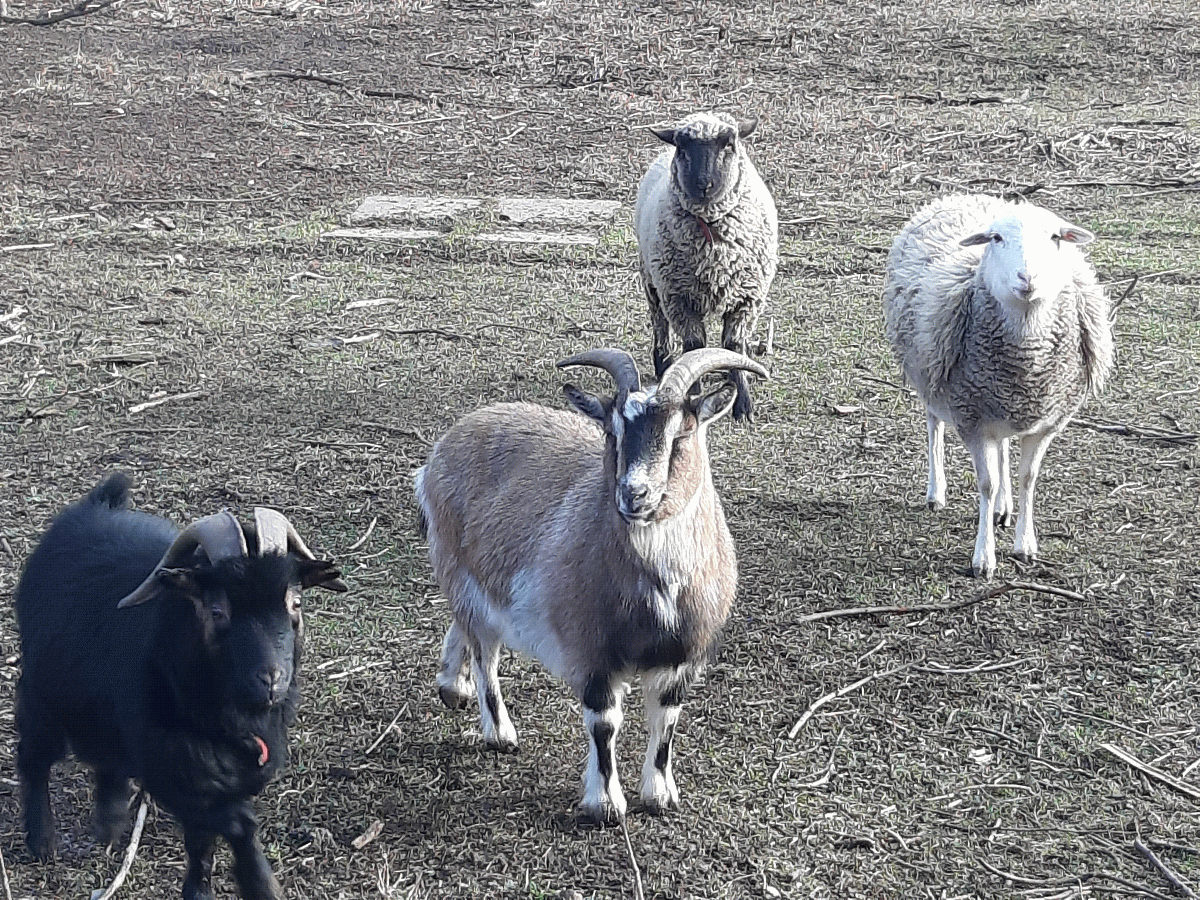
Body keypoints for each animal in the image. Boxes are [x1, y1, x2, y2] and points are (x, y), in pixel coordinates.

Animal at [14, 474, 347, 900]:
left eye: (295, 603)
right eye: (217, 610)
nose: (272, 679)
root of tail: (97, 504)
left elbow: (202, 840)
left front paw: (202, 888)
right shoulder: (176, 771)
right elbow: (236, 823)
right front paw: (260, 884)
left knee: (107, 760)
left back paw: (108, 824)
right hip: (42, 693)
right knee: (35, 756)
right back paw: (42, 842)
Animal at [415, 346, 767, 824]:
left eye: (682, 433)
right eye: (612, 432)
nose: (634, 494)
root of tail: (446, 444)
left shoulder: (682, 655)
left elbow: (666, 720)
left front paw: (660, 795)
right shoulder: (592, 649)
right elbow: (603, 724)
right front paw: (604, 804)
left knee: (465, 630)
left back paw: (454, 687)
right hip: (461, 570)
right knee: (485, 651)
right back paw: (500, 732)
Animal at [635, 111, 779, 422]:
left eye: (729, 145)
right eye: (682, 148)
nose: (704, 184)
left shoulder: (747, 299)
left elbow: (734, 346)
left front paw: (744, 406)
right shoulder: (679, 298)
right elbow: (694, 345)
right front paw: (692, 391)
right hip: (652, 281)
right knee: (659, 323)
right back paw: (663, 363)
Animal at [881, 193, 1114, 578]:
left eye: (1055, 237)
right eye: (996, 239)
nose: (1027, 277)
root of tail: (963, 195)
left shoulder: (1046, 422)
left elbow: (1028, 477)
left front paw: (1025, 545)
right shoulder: (971, 417)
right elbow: (986, 484)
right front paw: (983, 558)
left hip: (998, 403)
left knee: (1003, 446)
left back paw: (1004, 509)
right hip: (929, 374)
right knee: (934, 427)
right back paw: (936, 492)